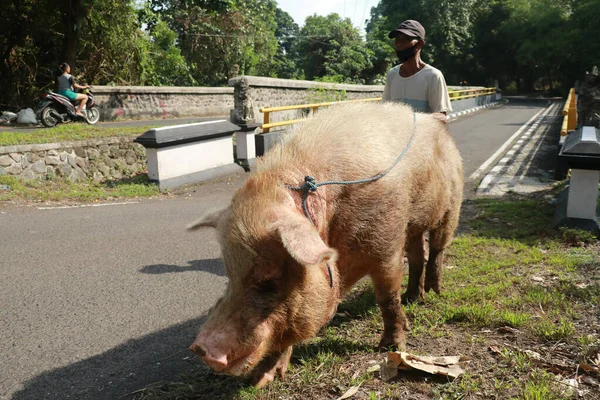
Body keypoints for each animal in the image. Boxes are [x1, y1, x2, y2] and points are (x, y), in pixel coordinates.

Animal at [188, 102, 464, 388]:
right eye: (229, 274)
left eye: (269, 278)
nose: (201, 349)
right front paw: (262, 380)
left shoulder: (386, 244)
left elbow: (387, 297)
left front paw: (389, 347)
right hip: (413, 226)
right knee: (418, 252)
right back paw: (414, 297)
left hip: (452, 202)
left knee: (437, 248)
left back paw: (434, 292)